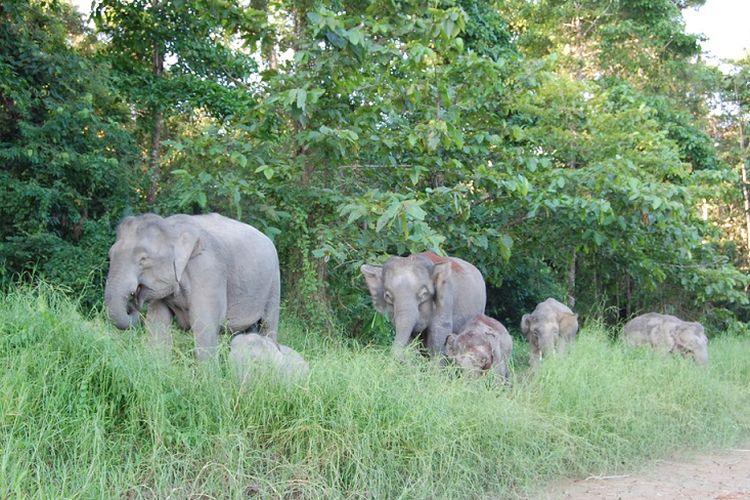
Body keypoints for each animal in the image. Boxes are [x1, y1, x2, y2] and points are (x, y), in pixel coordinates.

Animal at [103, 213, 282, 362]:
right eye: (110, 256)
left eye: (143, 259)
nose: (132, 305)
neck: (172, 227)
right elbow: (156, 323)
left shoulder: (208, 272)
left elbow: (204, 325)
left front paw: (209, 379)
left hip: (274, 282)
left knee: (268, 324)